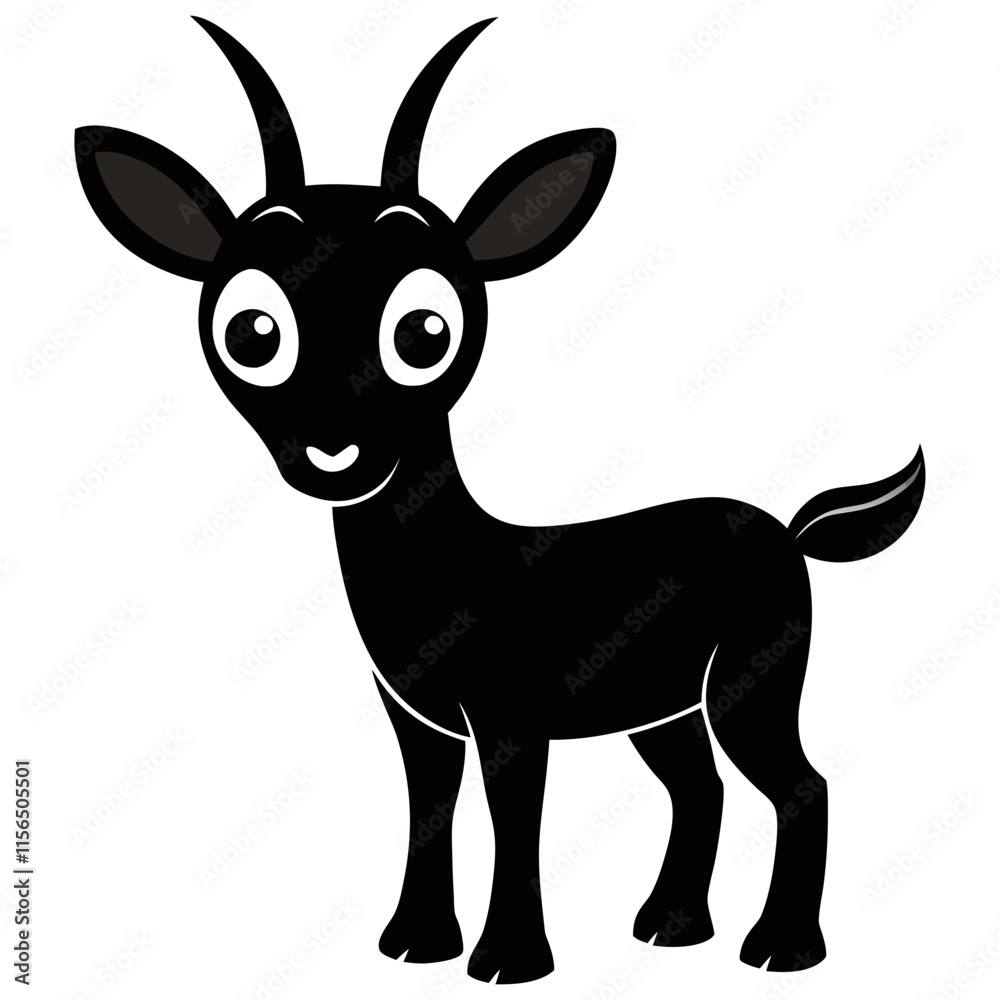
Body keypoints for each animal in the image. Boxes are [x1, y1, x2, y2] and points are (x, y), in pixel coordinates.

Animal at [75, 17, 925, 985]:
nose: (336, 449)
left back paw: (781, 949)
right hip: (663, 704)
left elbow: (512, 818)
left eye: (424, 330)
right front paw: (414, 943)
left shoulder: (511, 719)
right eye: (253, 330)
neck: (446, 565)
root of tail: (787, 530)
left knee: (801, 784)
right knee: (699, 785)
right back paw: (671, 927)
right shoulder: (419, 721)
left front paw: (508, 961)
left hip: (754, 680)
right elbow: (431, 812)